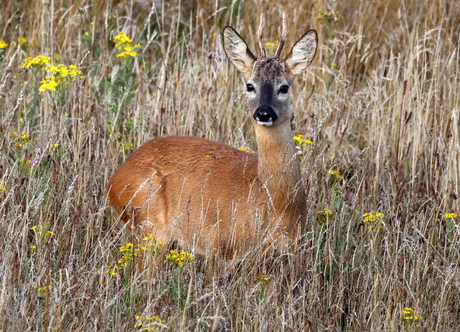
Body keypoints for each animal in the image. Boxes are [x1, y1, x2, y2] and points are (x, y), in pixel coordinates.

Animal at [107, 14, 316, 258]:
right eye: (250, 85)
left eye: (284, 87)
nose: (264, 112)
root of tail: (114, 181)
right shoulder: (223, 247)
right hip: (150, 227)